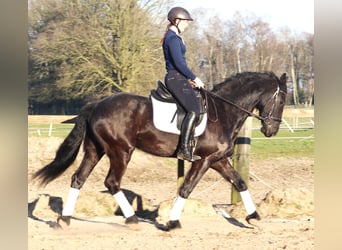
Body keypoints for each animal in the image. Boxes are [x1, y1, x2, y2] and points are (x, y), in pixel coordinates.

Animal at [33, 71, 288, 230]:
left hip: (95, 151)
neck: (224, 111)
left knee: (78, 178)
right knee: (112, 182)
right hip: (121, 152)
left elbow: (240, 182)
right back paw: (132, 219)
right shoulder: (204, 160)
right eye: (282, 101)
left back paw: (64, 219)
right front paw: (173, 223)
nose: (271, 130)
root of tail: (96, 105)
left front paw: (254, 217)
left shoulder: (218, 160)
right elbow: (186, 188)